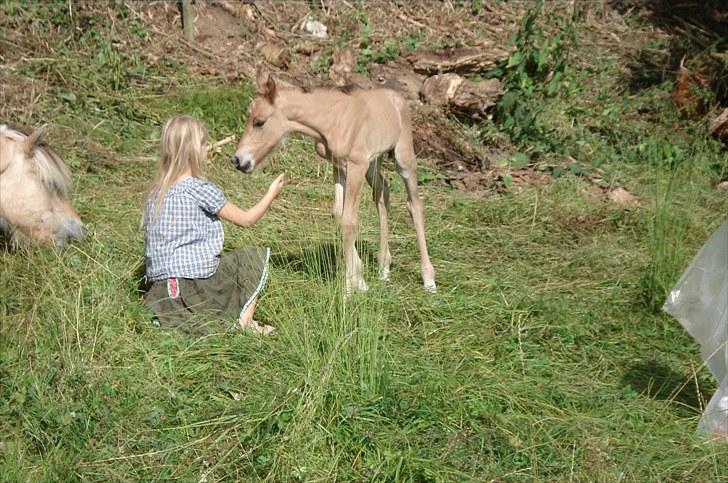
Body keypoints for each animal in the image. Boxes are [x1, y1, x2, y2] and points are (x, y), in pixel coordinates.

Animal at [233, 69, 436, 294]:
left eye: (259, 122)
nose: (238, 160)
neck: (333, 120)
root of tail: (398, 98)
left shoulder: (356, 166)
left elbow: (349, 222)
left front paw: (349, 288)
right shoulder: (339, 167)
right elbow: (339, 215)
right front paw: (360, 279)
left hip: (403, 157)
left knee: (414, 204)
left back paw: (429, 279)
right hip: (374, 162)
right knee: (383, 192)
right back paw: (384, 268)